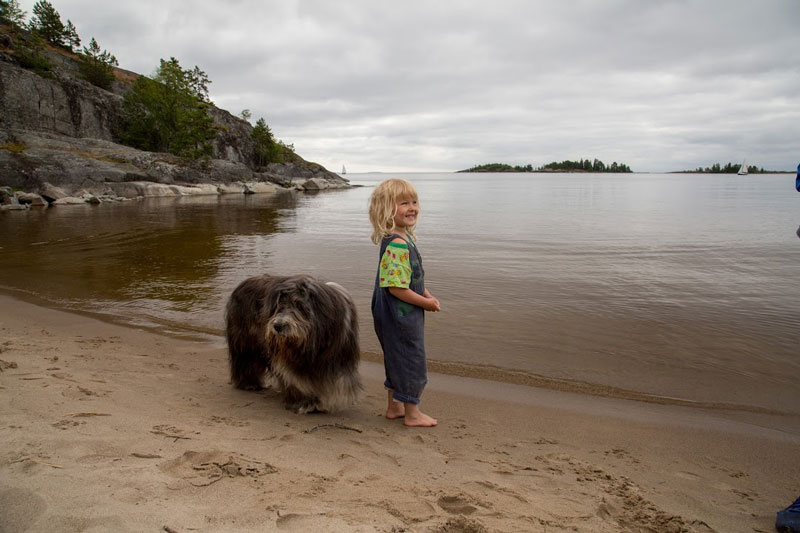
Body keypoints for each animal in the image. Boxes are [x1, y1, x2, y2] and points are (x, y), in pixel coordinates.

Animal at [225, 272, 362, 414]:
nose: (278, 326)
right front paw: (304, 402)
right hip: (245, 340)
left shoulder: (339, 357)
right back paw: (249, 384)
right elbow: (296, 380)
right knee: (245, 361)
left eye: (300, 306)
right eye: (279, 306)